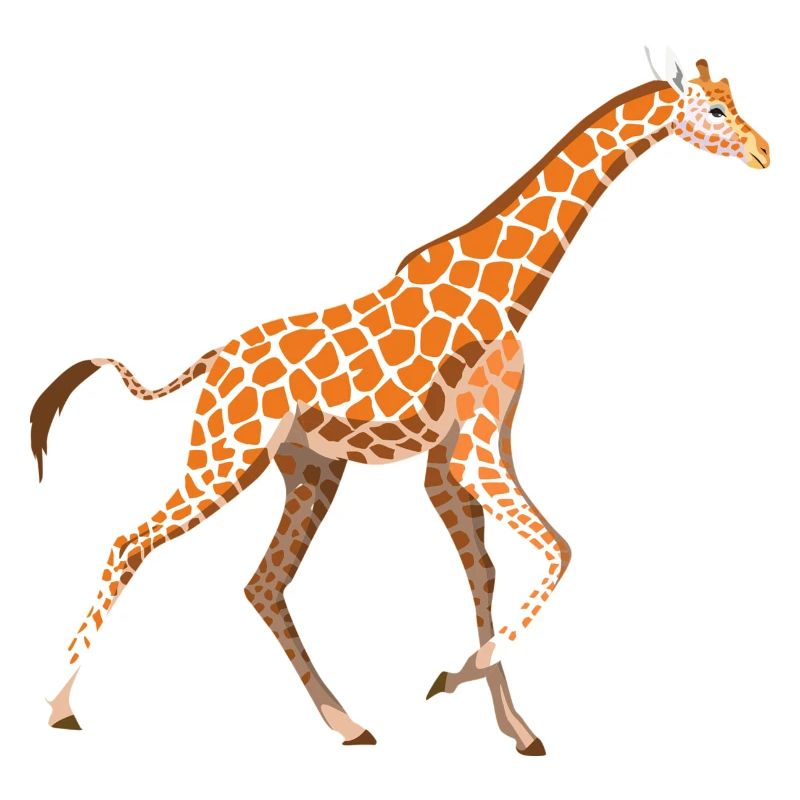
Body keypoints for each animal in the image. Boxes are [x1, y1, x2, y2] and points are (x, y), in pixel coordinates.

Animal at [33, 52, 769, 753]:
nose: (764, 151)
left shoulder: (453, 460)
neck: (508, 291)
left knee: (263, 583)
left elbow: (486, 574)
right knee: (129, 542)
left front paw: (515, 727)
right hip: (226, 454)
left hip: (309, 469)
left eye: (733, 99)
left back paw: (348, 723)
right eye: (713, 108)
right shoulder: (473, 456)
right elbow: (558, 552)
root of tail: (214, 360)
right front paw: (453, 680)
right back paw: (59, 706)